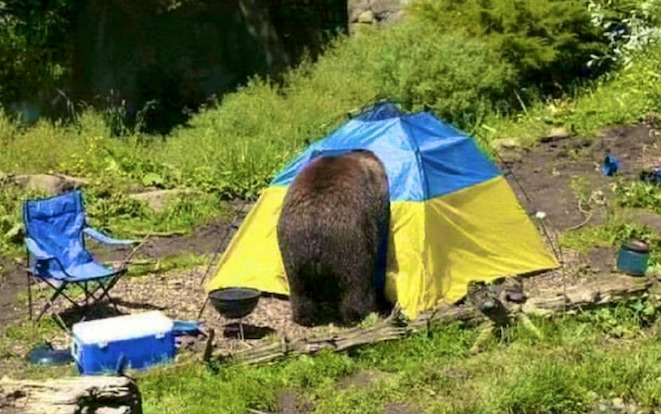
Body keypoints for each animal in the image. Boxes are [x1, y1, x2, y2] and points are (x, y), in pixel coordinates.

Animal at [276, 149, 391, 327]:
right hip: (350, 242)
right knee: (356, 282)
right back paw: (357, 314)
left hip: (292, 247)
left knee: (300, 287)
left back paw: (304, 316)